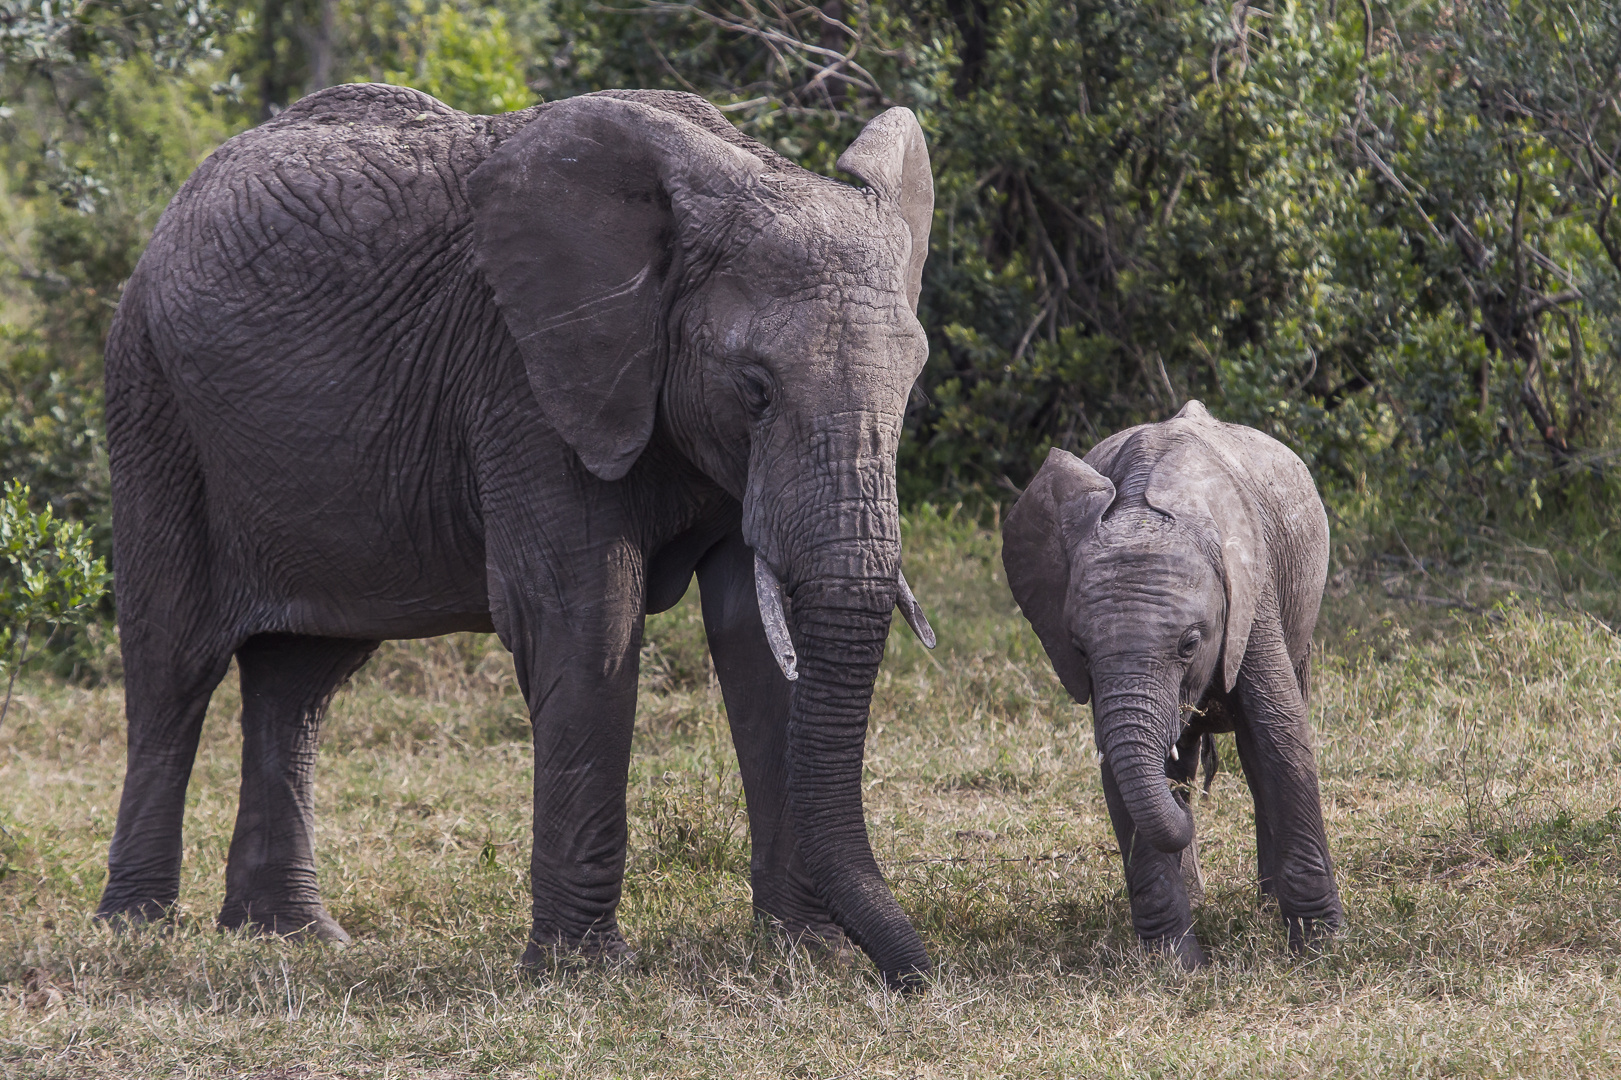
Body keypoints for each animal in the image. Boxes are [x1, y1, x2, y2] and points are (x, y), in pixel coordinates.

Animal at [98, 84, 940, 985]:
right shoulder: (523, 382)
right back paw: (138, 930)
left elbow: (754, 639)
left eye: (912, 383)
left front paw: (807, 952)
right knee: (173, 664)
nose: (913, 980)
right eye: (755, 388)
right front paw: (584, 972)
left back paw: (289, 936)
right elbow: (585, 618)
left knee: (299, 683)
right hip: (152, 400)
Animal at [998, 398, 1342, 960]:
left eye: (1189, 644)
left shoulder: (1252, 595)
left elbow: (1281, 735)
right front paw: (1173, 966)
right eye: (1080, 650)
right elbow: (1119, 769)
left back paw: (1265, 904)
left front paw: (1322, 948)